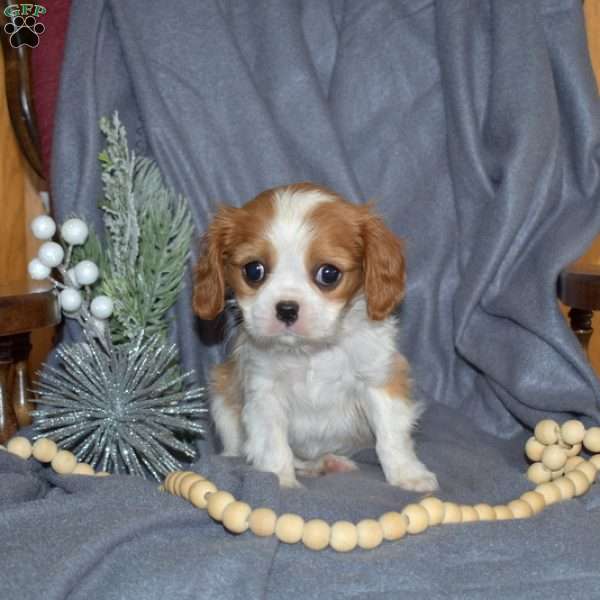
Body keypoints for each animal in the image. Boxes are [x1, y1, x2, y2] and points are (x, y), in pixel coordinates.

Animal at [195, 184, 438, 492]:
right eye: (253, 270)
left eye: (328, 274)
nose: (287, 309)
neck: (310, 351)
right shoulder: (264, 393)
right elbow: (273, 445)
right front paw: (280, 481)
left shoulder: (378, 379)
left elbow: (391, 435)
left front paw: (407, 474)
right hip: (221, 392)